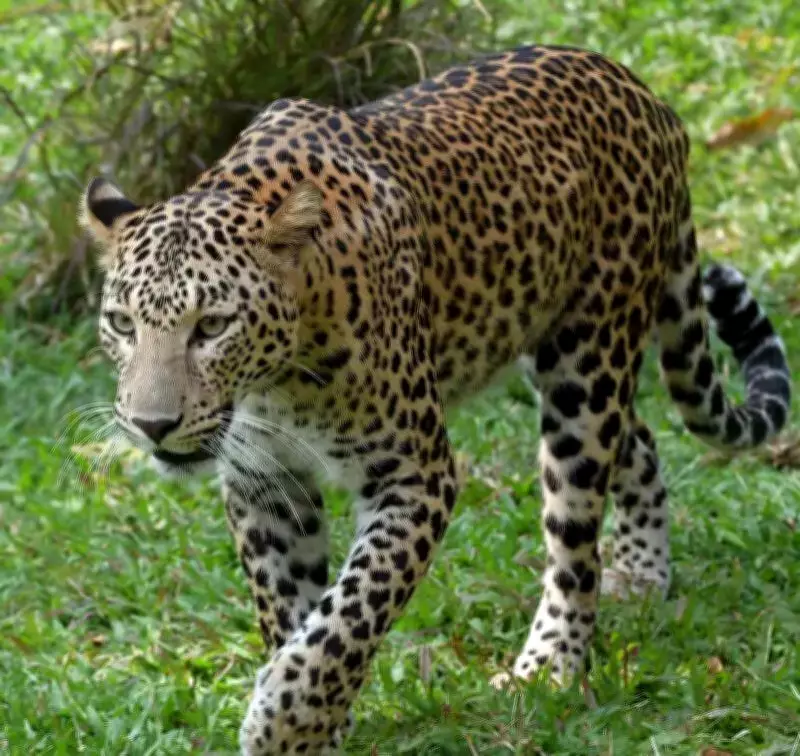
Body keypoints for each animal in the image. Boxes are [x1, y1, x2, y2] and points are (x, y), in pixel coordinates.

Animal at [80, 44, 791, 755]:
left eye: (211, 326)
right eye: (121, 324)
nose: (151, 425)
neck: (277, 381)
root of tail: (643, 93)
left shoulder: (415, 475)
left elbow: (352, 611)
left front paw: (286, 721)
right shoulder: (263, 481)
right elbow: (289, 607)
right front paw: (318, 722)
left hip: (587, 362)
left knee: (574, 534)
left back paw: (551, 664)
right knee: (637, 440)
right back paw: (643, 574)